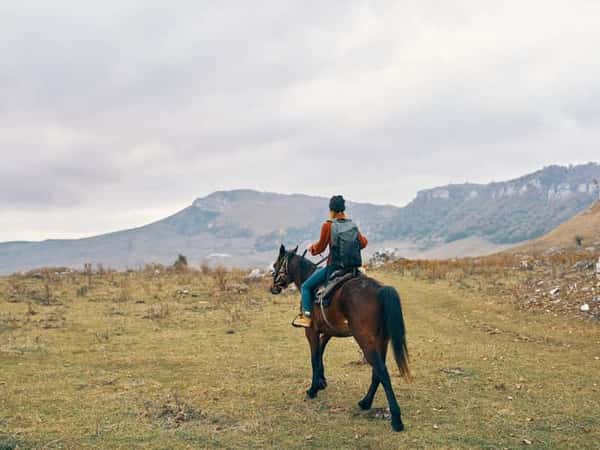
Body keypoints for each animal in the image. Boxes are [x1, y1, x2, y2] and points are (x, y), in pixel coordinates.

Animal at [270, 246, 410, 432]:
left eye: (276, 264)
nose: (273, 288)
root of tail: (380, 289)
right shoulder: (328, 331)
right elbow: (320, 353)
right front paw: (321, 382)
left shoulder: (311, 332)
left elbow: (314, 358)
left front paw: (313, 389)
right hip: (381, 340)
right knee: (377, 371)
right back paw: (365, 402)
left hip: (365, 340)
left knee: (381, 371)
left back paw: (396, 419)